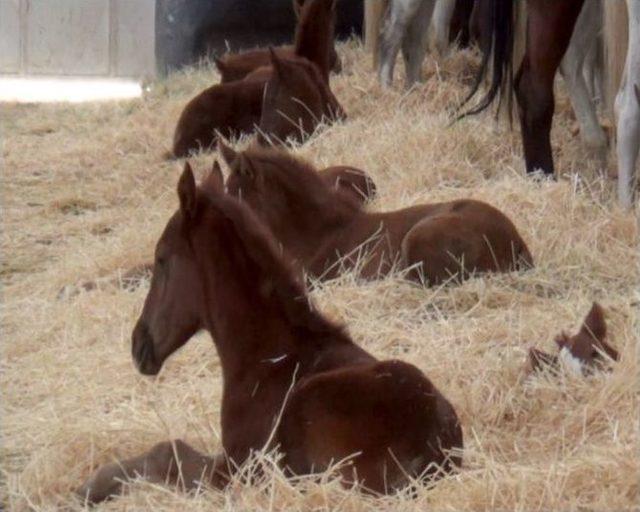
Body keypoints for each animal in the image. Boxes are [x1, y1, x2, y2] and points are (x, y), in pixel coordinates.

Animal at [77, 162, 462, 502]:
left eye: (161, 259)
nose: (138, 344)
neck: (268, 355)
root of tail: (436, 448)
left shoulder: (236, 470)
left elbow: (167, 451)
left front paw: (91, 486)